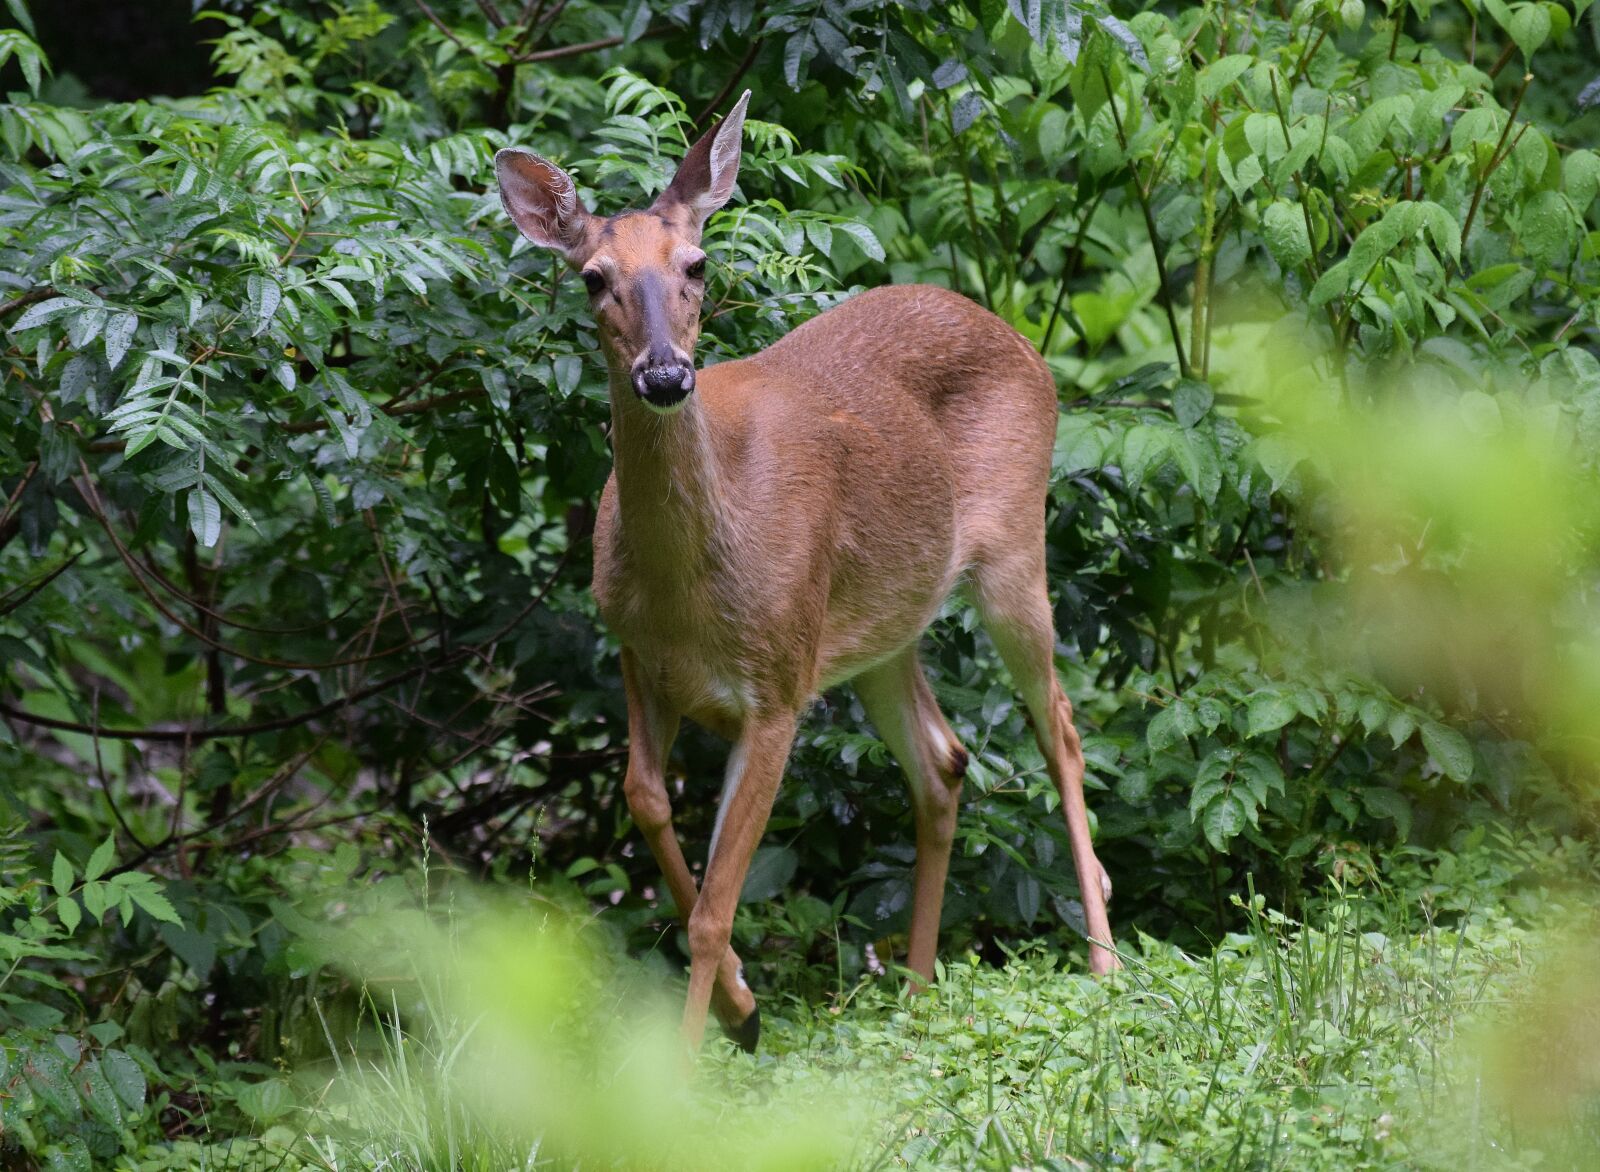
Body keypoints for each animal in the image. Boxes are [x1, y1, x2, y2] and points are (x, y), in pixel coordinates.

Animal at [493, 91, 1119, 1054]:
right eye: (594, 277)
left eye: (697, 263)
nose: (666, 375)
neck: (689, 591)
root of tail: (1018, 338)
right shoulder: (639, 657)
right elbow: (645, 801)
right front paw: (742, 1006)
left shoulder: (780, 691)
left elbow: (714, 908)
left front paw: (697, 1054)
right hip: (879, 630)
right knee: (944, 760)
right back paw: (916, 985)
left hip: (1015, 549)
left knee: (1061, 724)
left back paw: (1104, 961)